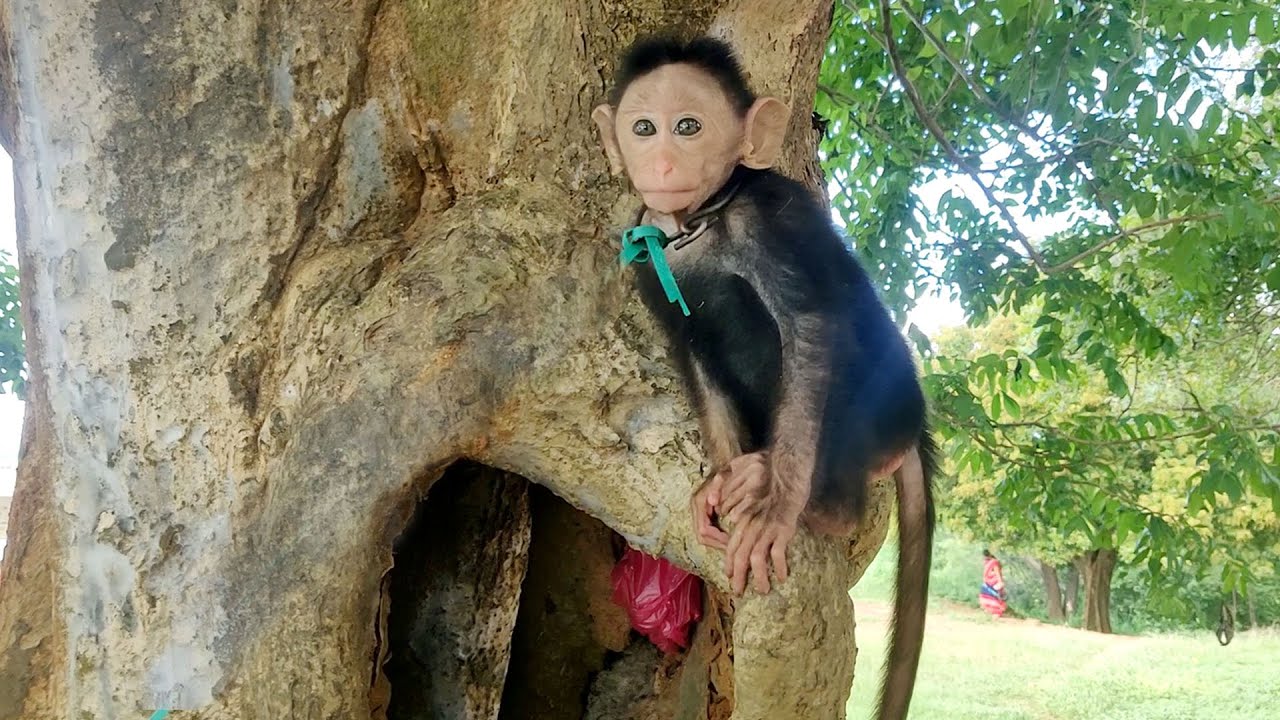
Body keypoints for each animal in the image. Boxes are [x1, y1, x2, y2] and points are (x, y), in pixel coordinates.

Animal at [592, 35, 937, 720]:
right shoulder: (645, 257)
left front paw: (777, 504)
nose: (662, 161)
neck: (696, 223)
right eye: (644, 128)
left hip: (873, 420)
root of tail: (912, 432)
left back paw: (814, 502)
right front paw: (718, 480)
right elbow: (691, 350)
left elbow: (810, 324)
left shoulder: (770, 214)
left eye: (689, 126)